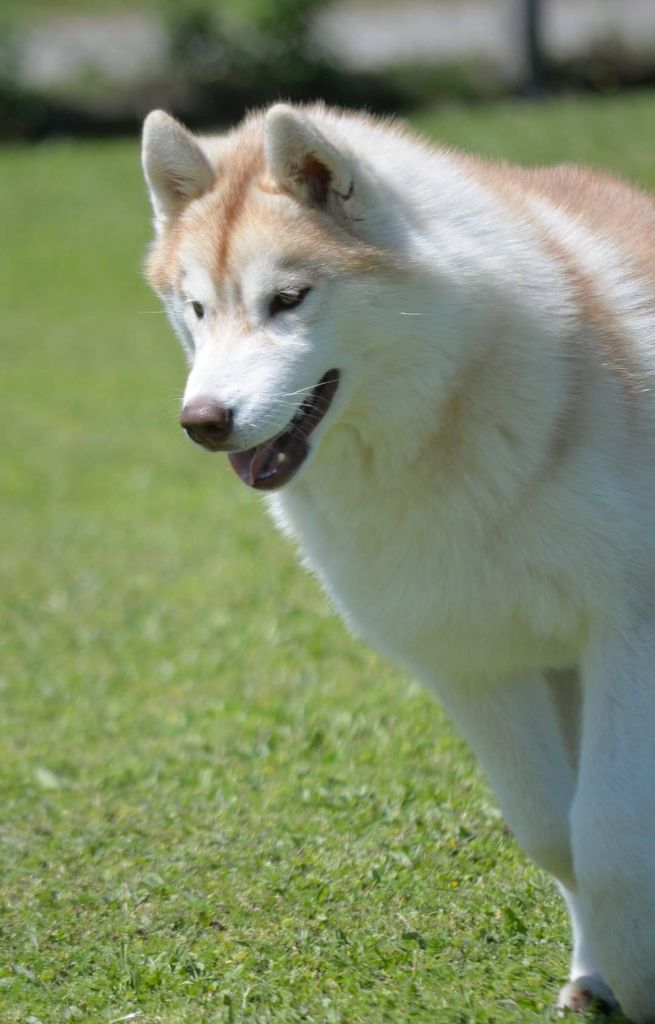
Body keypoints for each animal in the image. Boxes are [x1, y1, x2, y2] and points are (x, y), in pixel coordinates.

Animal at [141, 102, 655, 1021]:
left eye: (288, 300)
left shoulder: (629, 629)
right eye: (196, 308)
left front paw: (639, 971)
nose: (202, 421)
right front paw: (601, 965)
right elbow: (552, 831)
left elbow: (612, 829)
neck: (445, 424)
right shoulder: (471, 662)